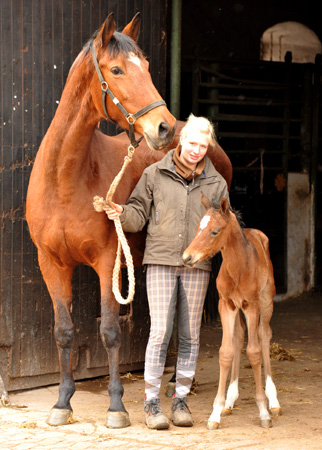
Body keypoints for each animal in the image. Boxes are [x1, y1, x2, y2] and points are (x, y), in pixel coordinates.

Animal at [25, 10, 231, 428]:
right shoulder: (50, 263)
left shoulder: (109, 262)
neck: (65, 180)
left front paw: (116, 406)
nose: (164, 127)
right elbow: (64, 331)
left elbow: (109, 331)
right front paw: (62, 402)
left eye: (148, 68)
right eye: (117, 69)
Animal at [184, 194, 282, 428]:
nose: (187, 258)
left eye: (214, 231)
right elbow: (226, 352)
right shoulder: (226, 304)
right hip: (238, 309)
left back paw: (274, 402)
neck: (238, 268)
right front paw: (215, 413)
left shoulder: (251, 304)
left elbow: (254, 352)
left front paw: (263, 411)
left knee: (264, 335)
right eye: (198, 228)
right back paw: (230, 401)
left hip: (266, 303)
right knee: (238, 336)